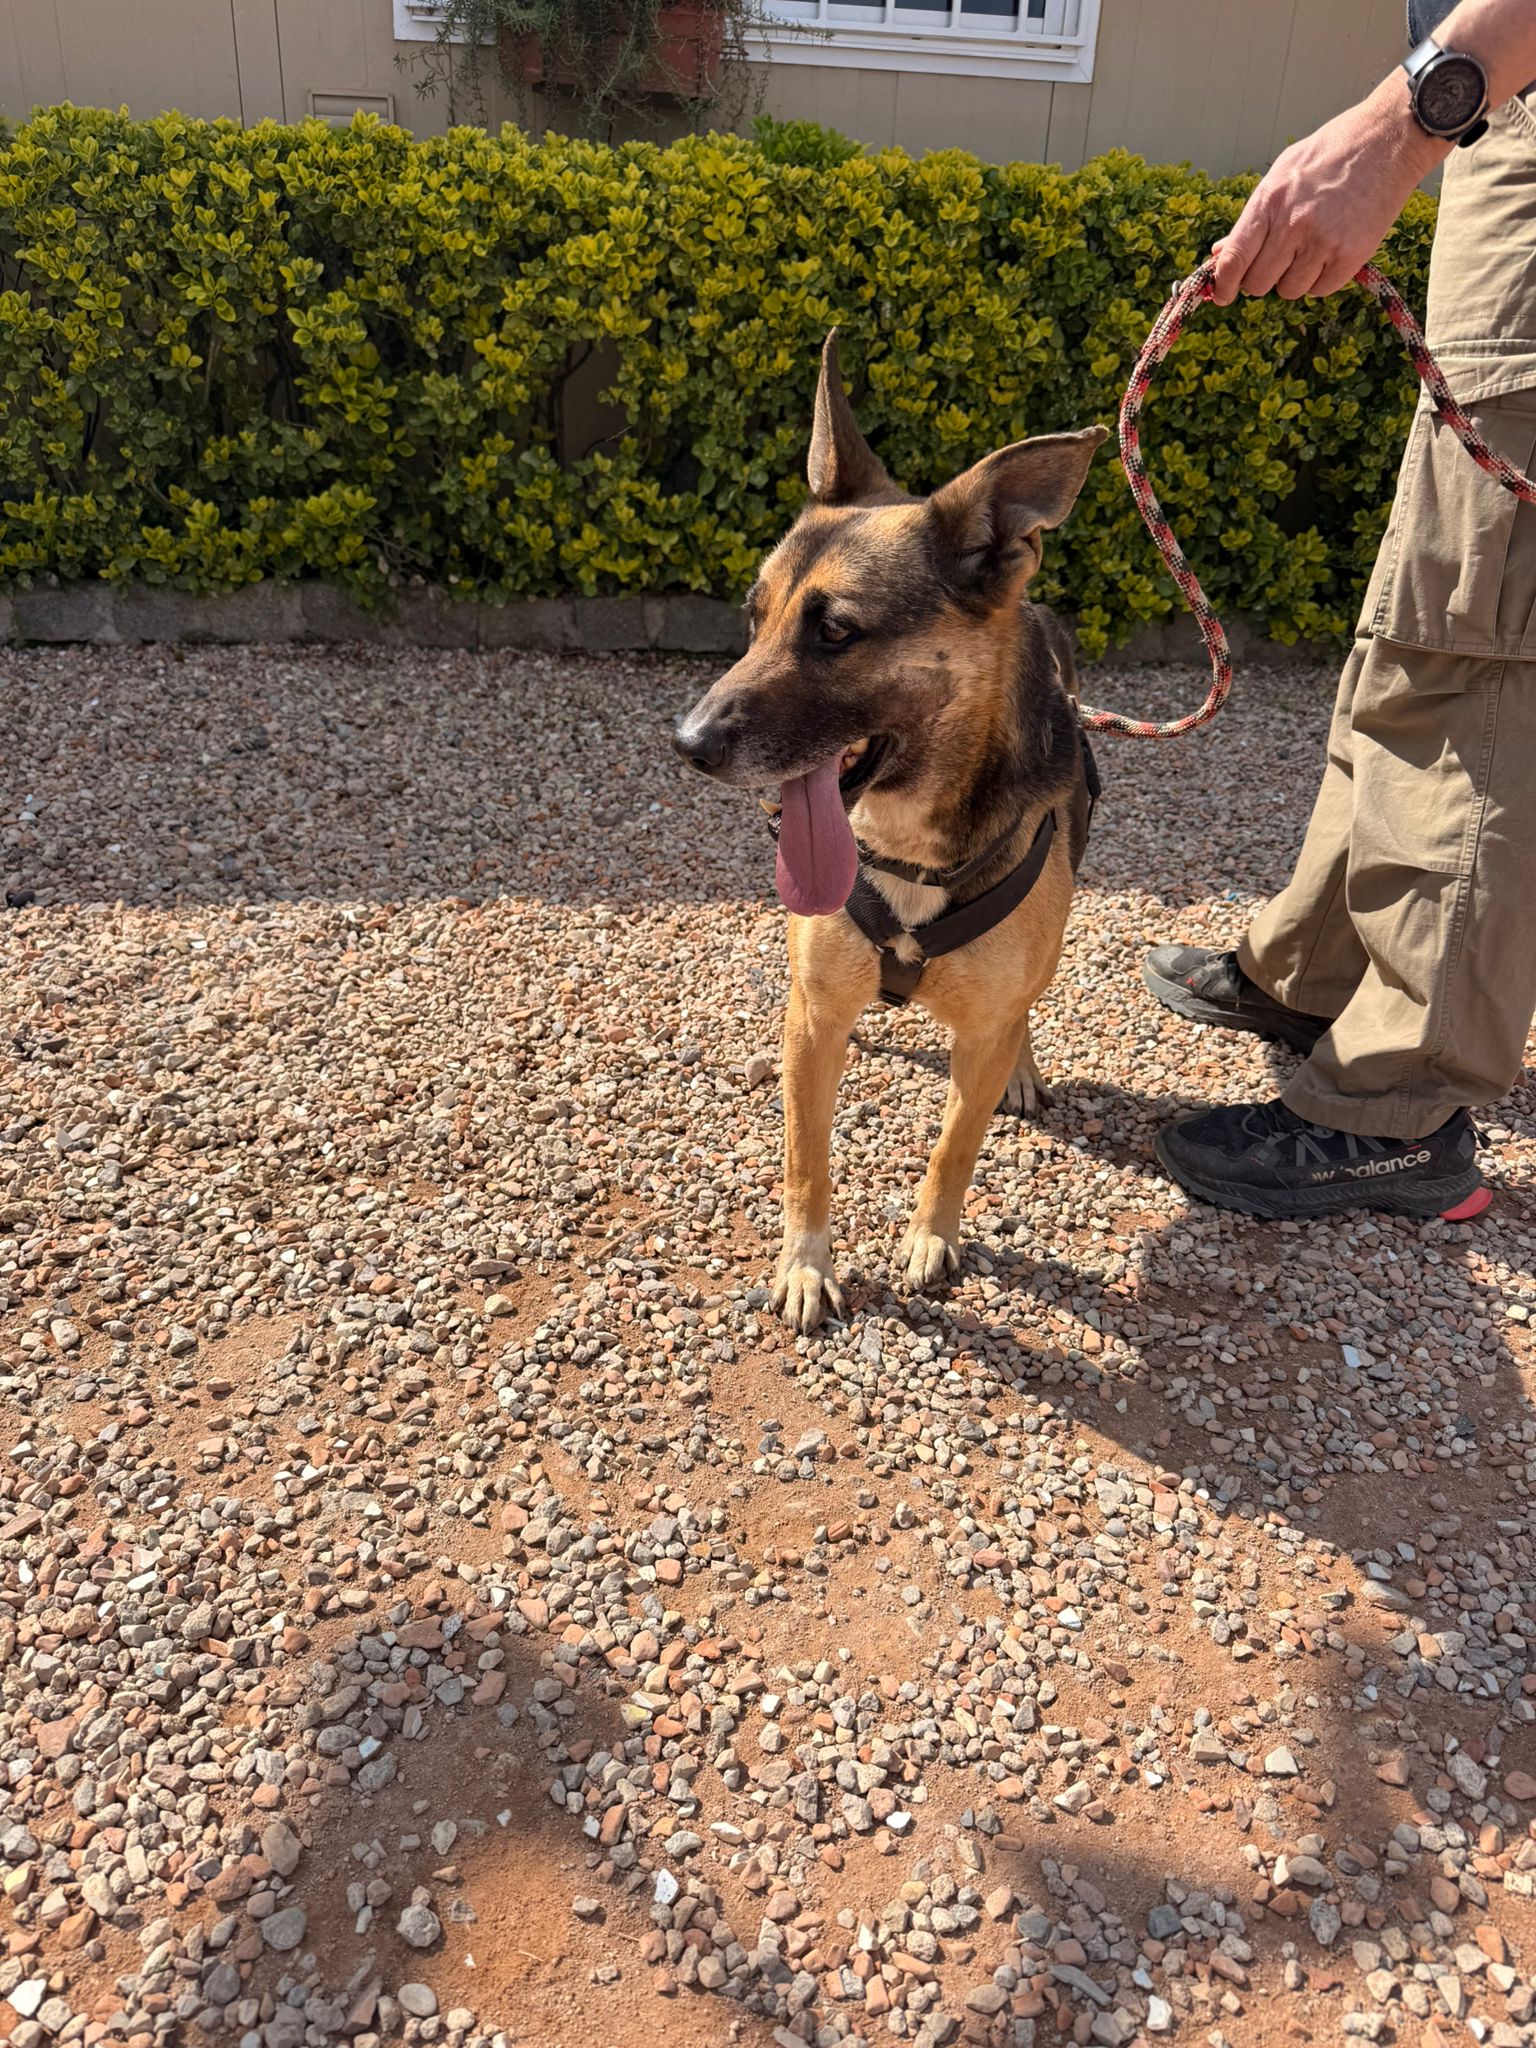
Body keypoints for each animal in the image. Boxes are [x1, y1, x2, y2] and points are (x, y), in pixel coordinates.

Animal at [673, 333, 1106, 1330]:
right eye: (753, 617)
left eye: (836, 631)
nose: (687, 744)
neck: (910, 843)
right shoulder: (818, 1016)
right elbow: (806, 1158)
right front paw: (804, 1265)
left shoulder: (980, 1032)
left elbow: (955, 1146)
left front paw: (932, 1237)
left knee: (1021, 1012)